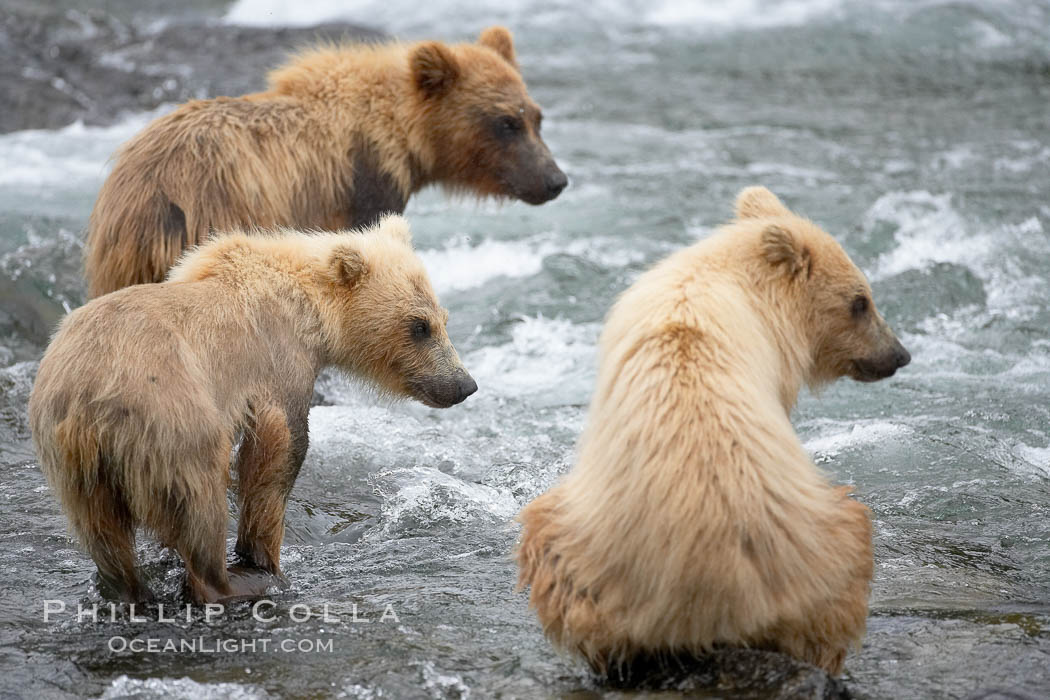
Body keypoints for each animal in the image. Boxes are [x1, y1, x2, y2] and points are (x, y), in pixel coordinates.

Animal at [29, 214, 476, 604]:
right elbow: (278, 452)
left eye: (443, 318)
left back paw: (128, 589)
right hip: (172, 424)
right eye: (419, 325)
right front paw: (264, 557)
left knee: (104, 537)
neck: (311, 313)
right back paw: (231, 583)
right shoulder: (278, 362)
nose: (464, 384)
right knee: (201, 508)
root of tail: (90, 405)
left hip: (75, 467)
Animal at [86, 25, 567, 295]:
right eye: (506, 122)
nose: (555, 179)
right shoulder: (361, 187)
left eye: (536, 117)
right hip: (213, 213)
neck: (401, 134)